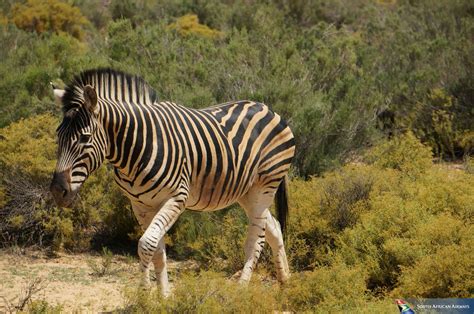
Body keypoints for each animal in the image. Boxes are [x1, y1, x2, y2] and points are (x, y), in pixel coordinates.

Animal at [50, 68, 294, 294]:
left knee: (256, 239)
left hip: (264, 186)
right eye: (58, 134)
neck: (136, 148)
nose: (56, 192)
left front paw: (144, 295)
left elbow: (146, 244)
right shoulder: (140, 205)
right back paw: (285, 282)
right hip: (247, 192)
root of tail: (268, 109)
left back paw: (241, 290)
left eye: (85, 138)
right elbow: (157, 250)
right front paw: (163, 296)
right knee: (274, 227)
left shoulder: (176, 198)